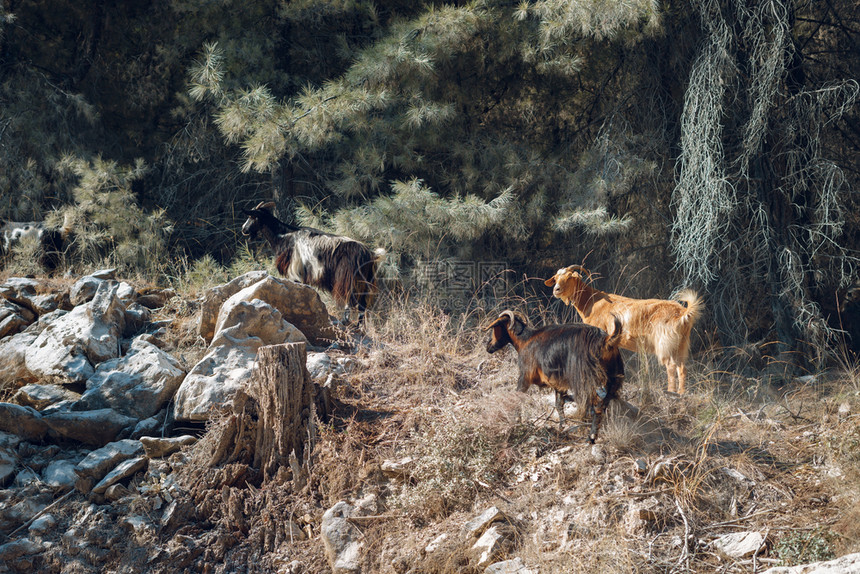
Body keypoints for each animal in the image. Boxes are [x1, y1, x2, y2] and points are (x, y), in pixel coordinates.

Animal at [240, 201, 384, 326]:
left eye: (252, 216)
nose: (244, 229)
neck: (284, 236)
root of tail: (370, 254)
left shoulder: (295, 273)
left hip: (348, 279)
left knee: (350, 301)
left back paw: (345, 322)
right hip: (364, 282)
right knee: (362, 306)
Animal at [484, 312, 624, 444]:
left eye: (495, 327)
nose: (488, 345)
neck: (525, 340)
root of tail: (605, 340)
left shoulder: (524, 377)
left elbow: (517, 398)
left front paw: (516, 422)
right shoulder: (558, 383)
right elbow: (559, 404)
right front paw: (562, 427)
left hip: (586, 381)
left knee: (596, 407)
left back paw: (591, 437)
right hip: (613, 380)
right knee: (603, 405)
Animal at [548, 266, 704, 396]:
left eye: (569, 277)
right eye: (556, 278)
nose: (556, 290)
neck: (591, 301)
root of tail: (682, 312)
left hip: (665, 343)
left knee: (671, 366)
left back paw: (671, 392)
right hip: (681, 344)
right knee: (682, 368)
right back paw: (682, 393)